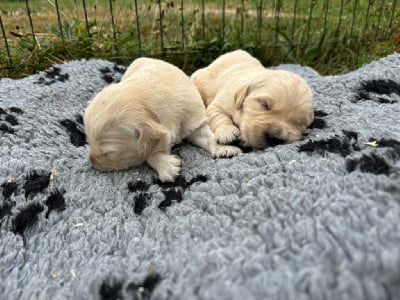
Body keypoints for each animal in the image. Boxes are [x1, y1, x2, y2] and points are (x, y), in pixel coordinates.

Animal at [83, 57, 241, 182]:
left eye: (109, 153)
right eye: (88, 141)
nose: (91, 162)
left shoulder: (194, 122)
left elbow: (208, 137)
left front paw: (223, 148)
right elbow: (150, 154)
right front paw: (167, 166)